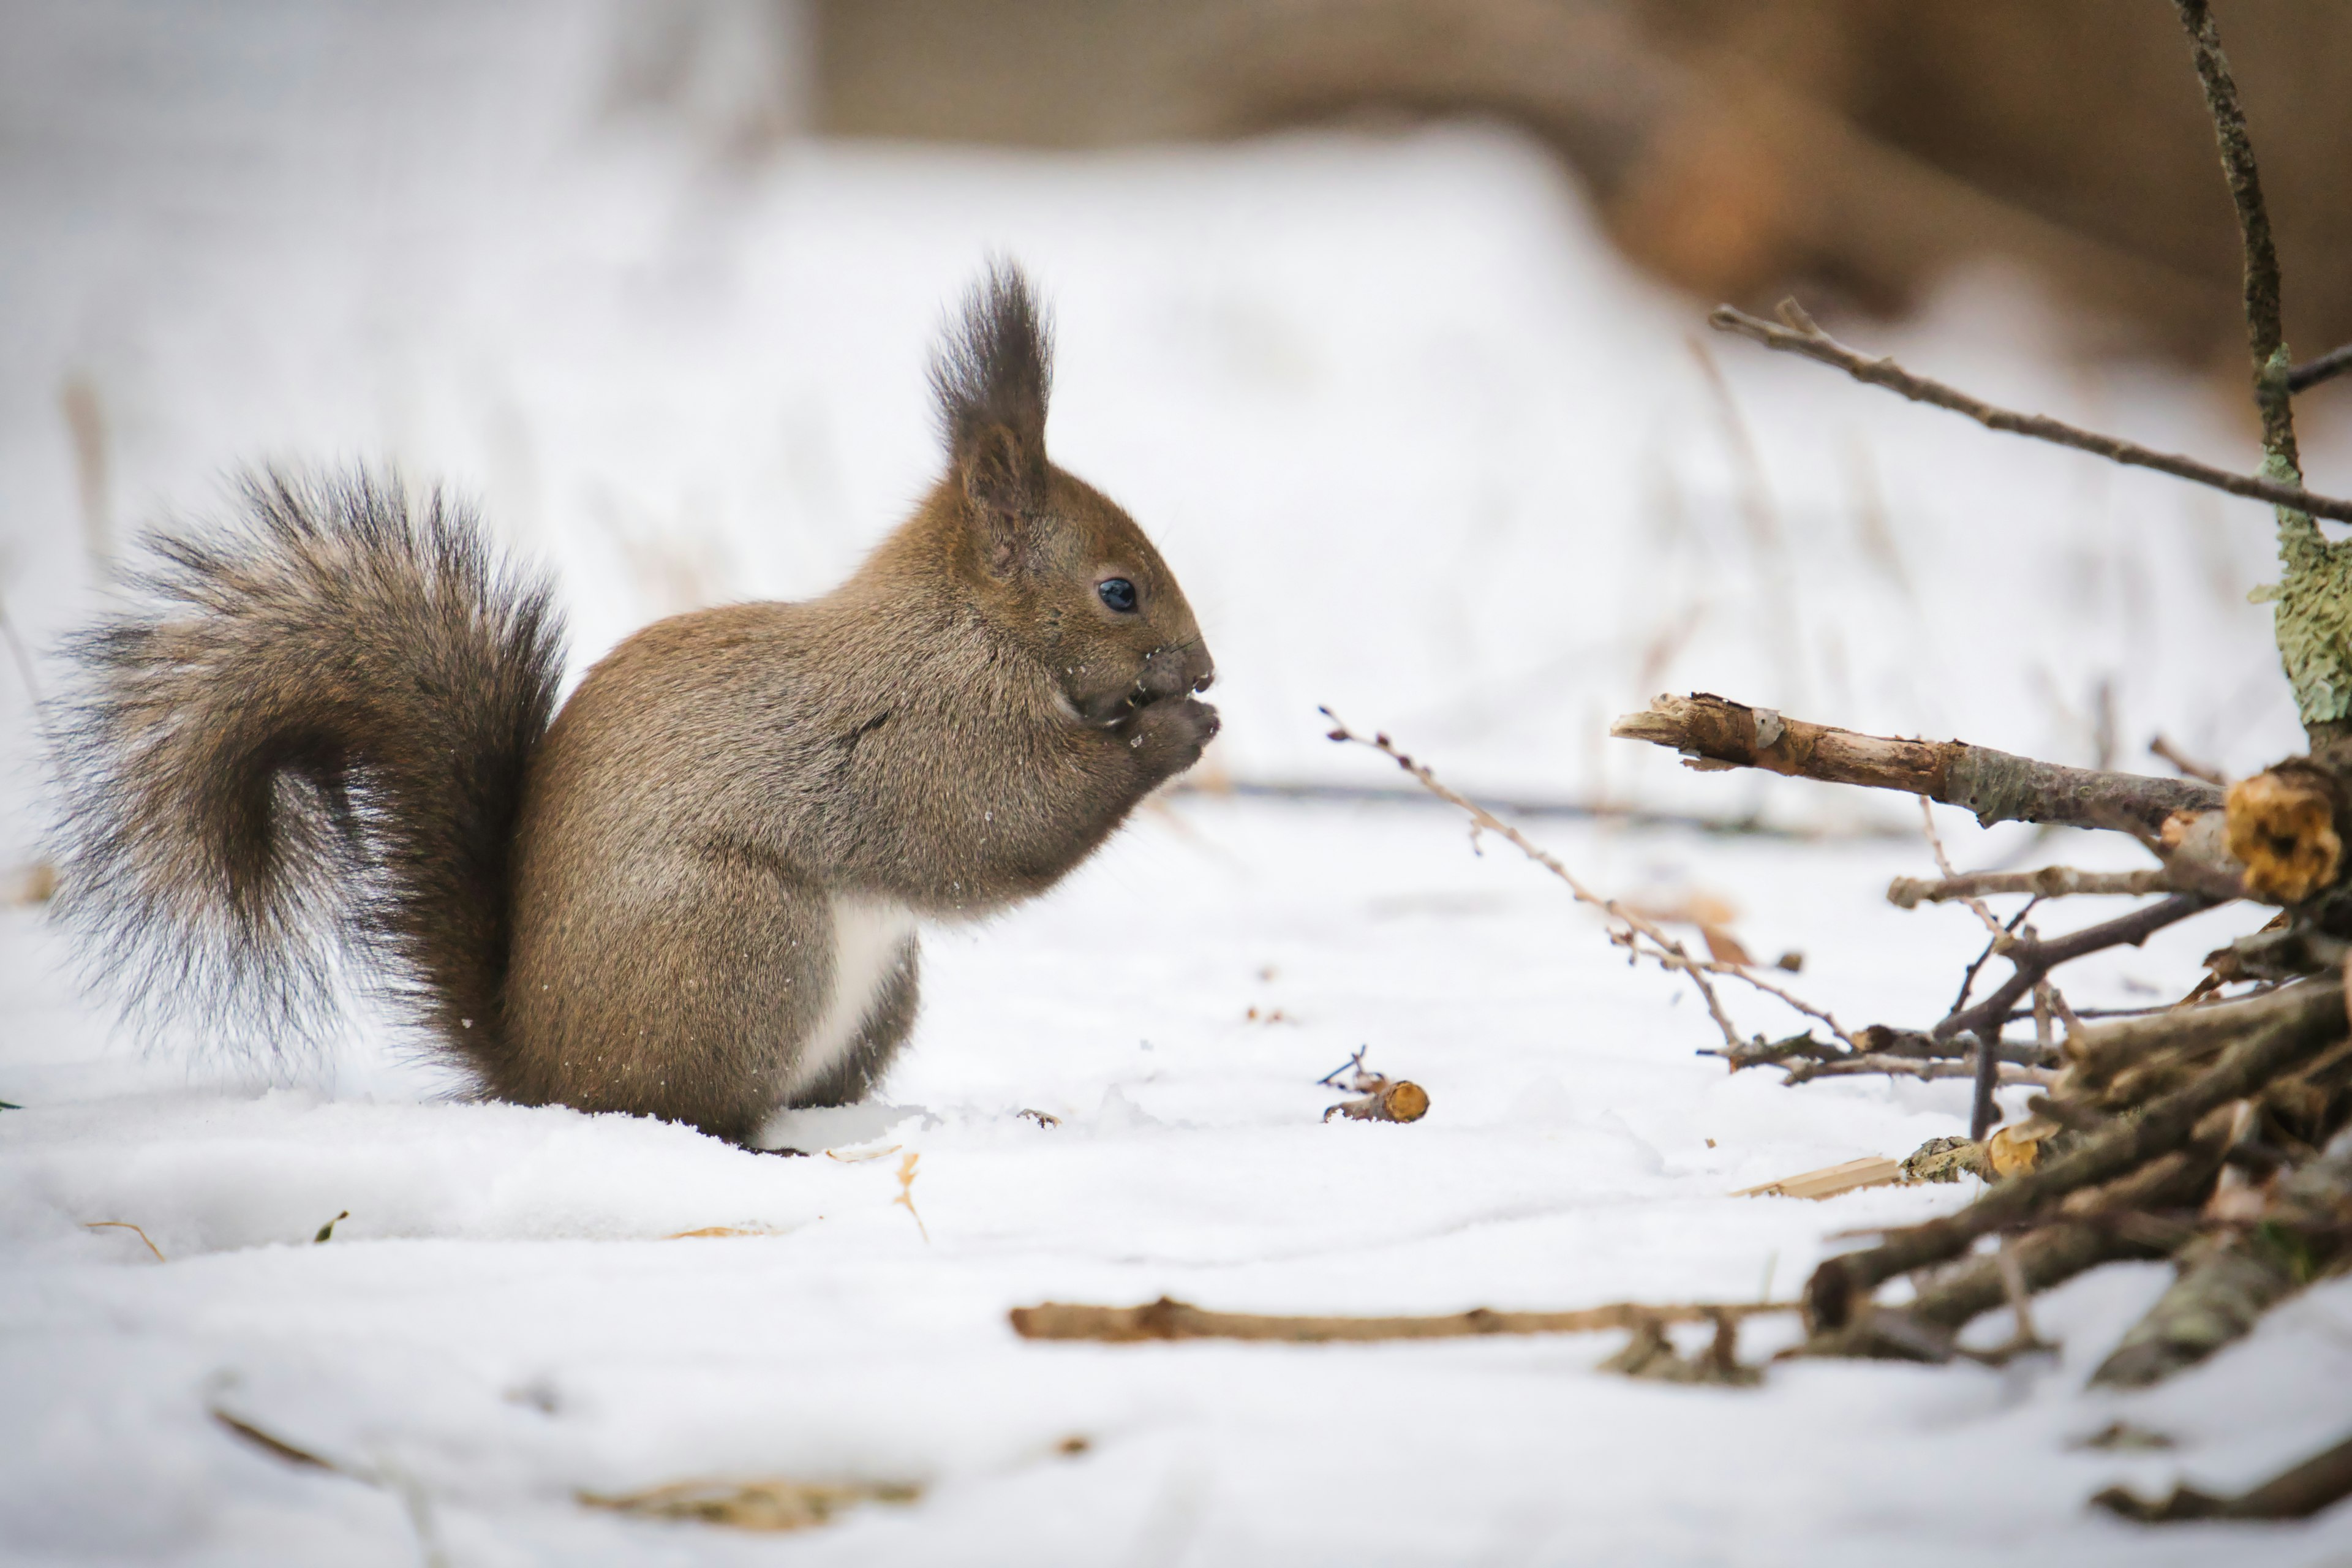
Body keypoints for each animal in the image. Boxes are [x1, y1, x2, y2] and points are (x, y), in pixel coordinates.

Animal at [45, 257, 1223, 1142]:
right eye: (1118, 591)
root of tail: (537, 1066)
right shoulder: (926, 732)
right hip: (738, 941)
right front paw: (1174, 734)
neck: (965, 623)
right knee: (689, 1114)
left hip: (877, 990)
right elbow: (1007, 822)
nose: (1205, 671)